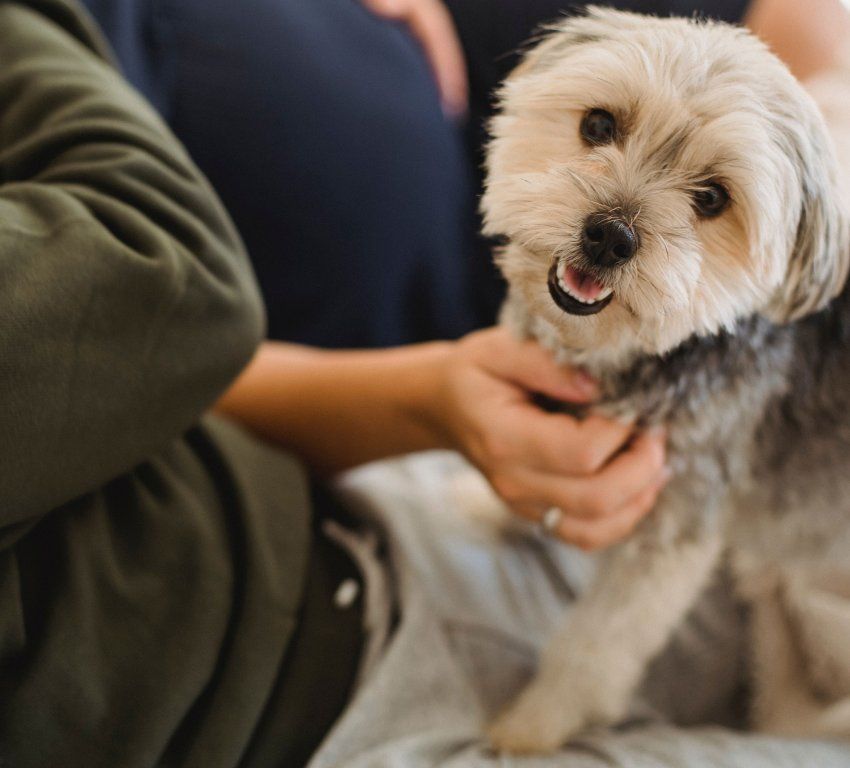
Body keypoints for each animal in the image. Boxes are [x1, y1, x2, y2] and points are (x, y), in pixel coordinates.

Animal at [480, 6, 848, 752]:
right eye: (598, 125)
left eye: (711, 198)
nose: (610, 236)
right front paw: (482, 501)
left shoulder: (671, 527)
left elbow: (595, 646)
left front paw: (531, 726)